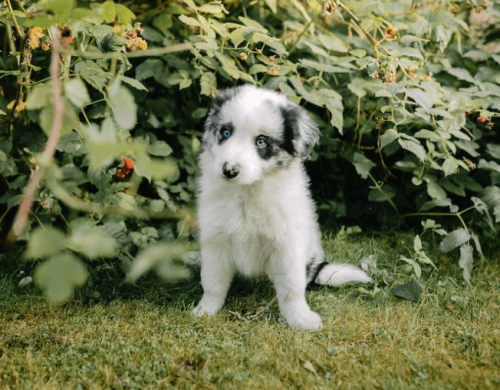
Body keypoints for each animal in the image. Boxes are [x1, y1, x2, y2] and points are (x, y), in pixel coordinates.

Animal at [193, 85, 374, 330]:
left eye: (261, 142)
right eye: (226, 132)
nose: (229, 170)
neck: (248, 192)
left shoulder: (287, 245)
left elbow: (292, 288)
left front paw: (300, 318)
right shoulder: (216, 240)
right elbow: (213, 281)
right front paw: (205, 310)